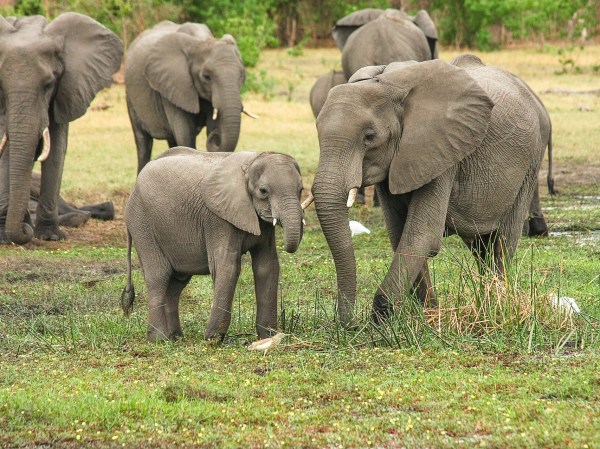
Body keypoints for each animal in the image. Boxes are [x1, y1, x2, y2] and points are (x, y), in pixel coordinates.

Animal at [0, 14, 123, 245]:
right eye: (1, 85)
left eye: (49, 84)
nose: (24, 231)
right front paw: (5, 237)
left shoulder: (65, 91)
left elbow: (57, 149)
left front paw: (49, 236)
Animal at [122, 147, 310, 340]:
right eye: (263, 191)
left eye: (300, 189)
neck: (250, 164)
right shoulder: (218, 218)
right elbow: (228, 266)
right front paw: (213, 339)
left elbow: (267, 266)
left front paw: (269, 337)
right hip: (142, 223)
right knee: (159, 276)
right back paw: (159, 339)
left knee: (176, 283)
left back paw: (176, 337)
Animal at [125, 20, 256, 173]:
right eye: (206, 77)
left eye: (242, 75)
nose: (216, 137)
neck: (201, 41)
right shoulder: (174, 85)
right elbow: (185, 134)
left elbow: (211, 126)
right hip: (130, 97)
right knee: (143, 142)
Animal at [310, 55, 552, 326]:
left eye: (369, 137)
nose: (349, 324)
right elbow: (399, 233)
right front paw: (426, 312)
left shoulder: (443, 151)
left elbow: (422, 234)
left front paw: (382, 318)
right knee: (481, 245)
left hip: (531, 159)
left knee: (502, 240)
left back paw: (496, 304)